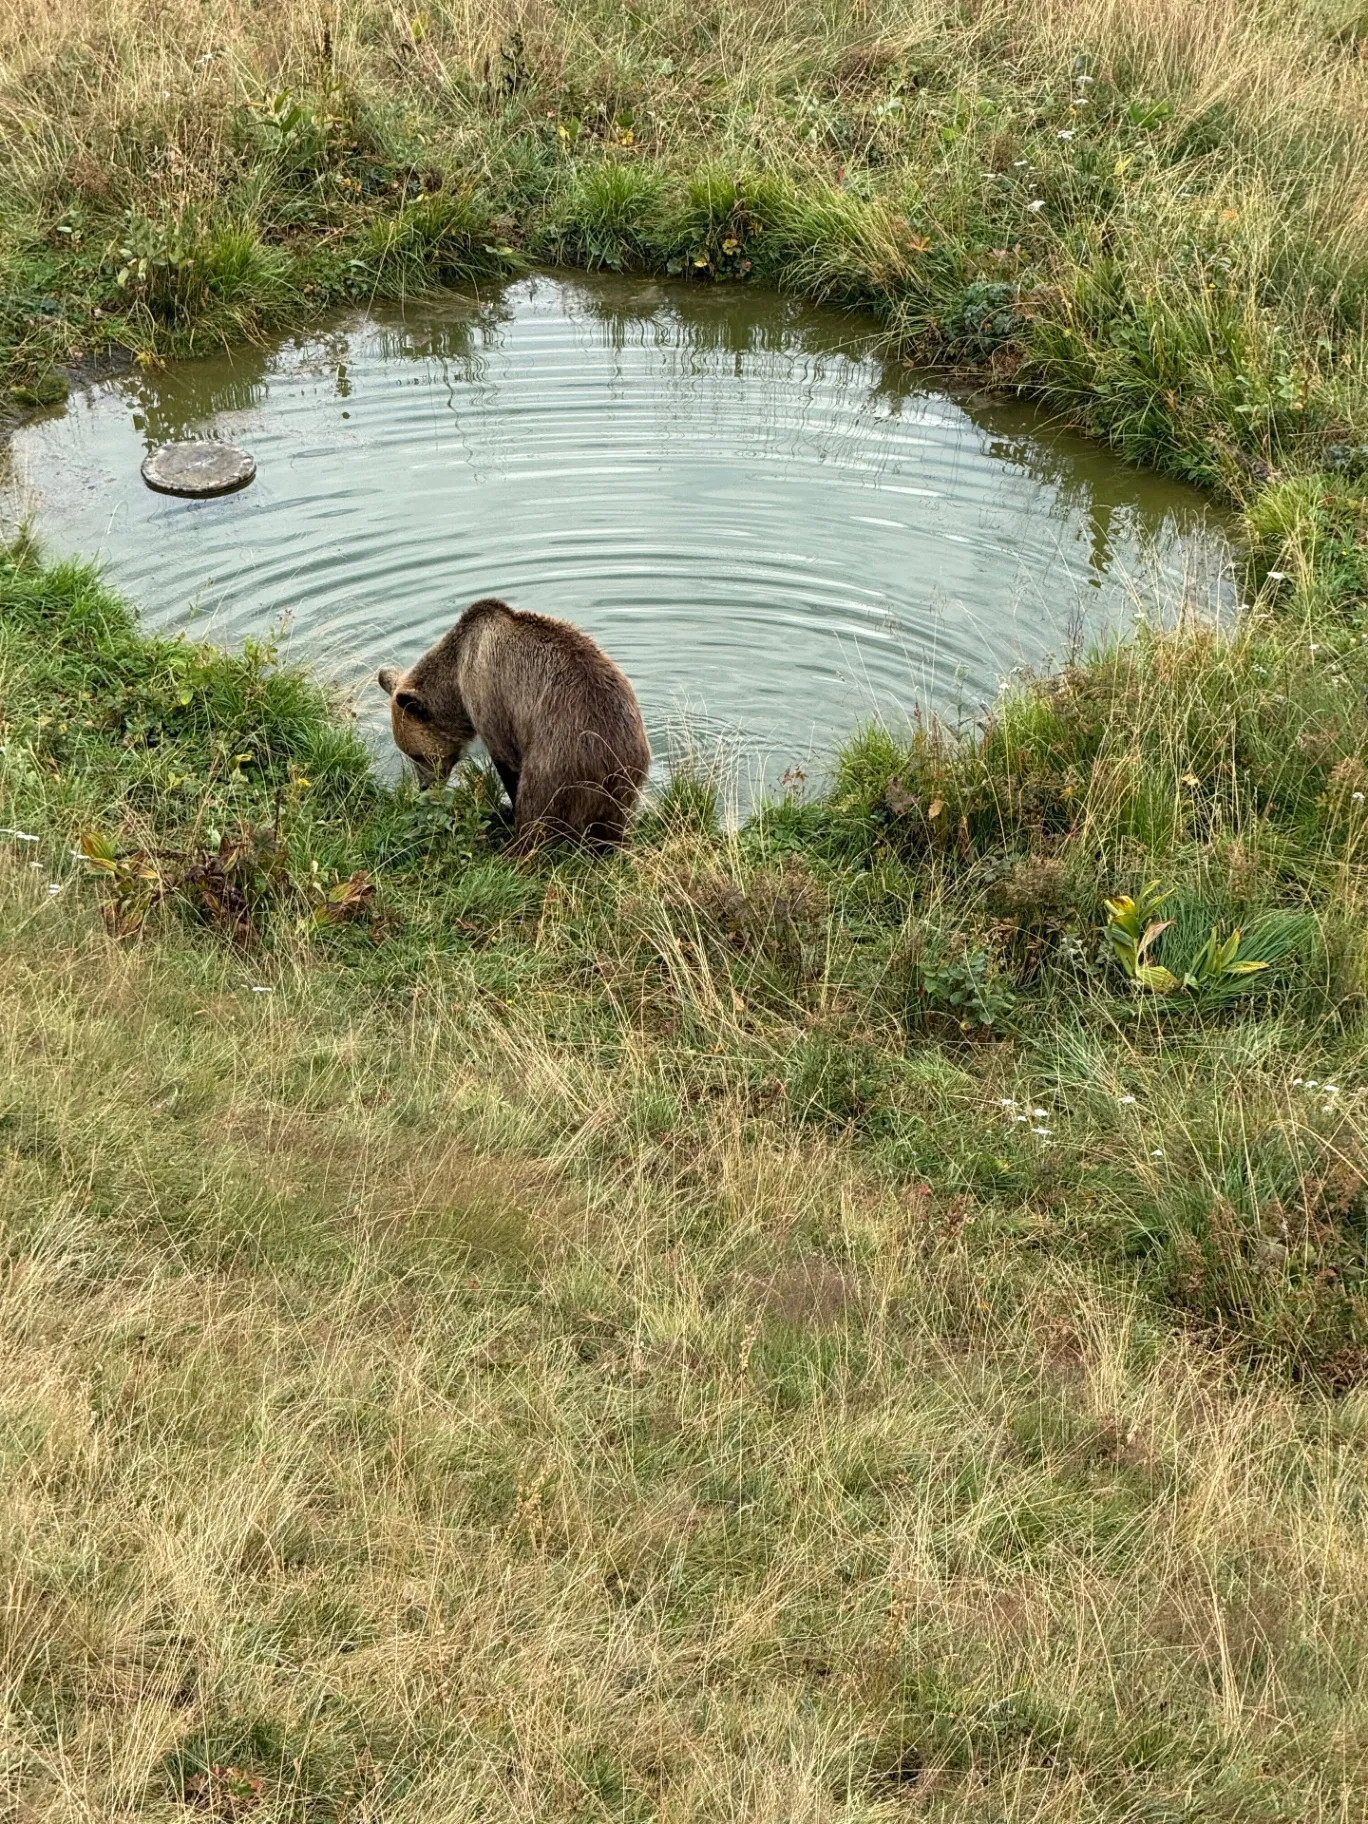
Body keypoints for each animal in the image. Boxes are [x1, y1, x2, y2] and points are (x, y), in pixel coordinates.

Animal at [378, 598, 651, 853]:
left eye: (417, 755)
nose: (424, 788)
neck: (456, 681)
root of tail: (611, 758)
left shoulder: (491, 699)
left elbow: (507, 762)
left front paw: (510, 811)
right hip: (623, 781)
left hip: (558, 757)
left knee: (537, 807)